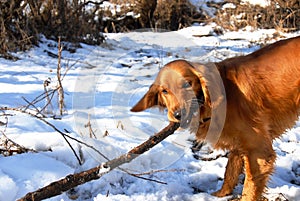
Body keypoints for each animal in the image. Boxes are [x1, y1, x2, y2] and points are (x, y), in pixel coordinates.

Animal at [131, 36, 300, 201]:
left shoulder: (259, 151)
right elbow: (230, 171)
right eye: (164, 91)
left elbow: (249, 188)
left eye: (187, 84)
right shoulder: (239, 144)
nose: (178, 115)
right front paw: (220, 194)